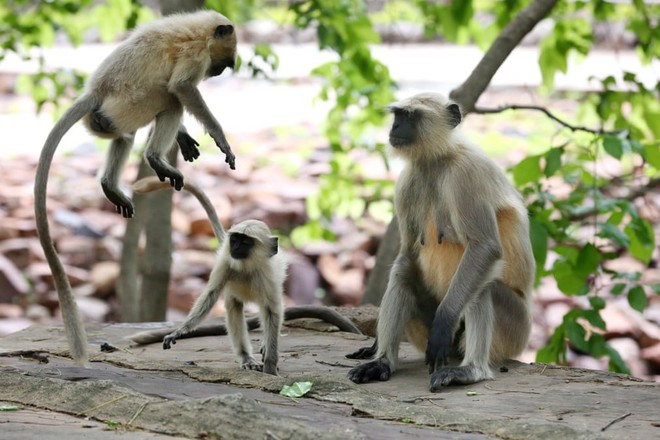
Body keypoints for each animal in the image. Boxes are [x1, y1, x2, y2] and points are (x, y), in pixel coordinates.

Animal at [33, 10, 238, 368]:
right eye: (223, 63)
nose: (222, 71)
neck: (198, 29)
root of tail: (96, 91)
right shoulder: (195, 53)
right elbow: (182, 87)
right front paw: (219, 138)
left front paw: (184, 137)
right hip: (132, 102)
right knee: (170, 98)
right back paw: (155, 159)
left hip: (110, 116)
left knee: (125, 135)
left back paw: (110, 185)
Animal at [128, 177, 360, 376]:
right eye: (235, 239)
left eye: (246, 242)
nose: (235, 247)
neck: (247, 265)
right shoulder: (225, 263)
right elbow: (211, 295)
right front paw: (181, 330)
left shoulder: (267, 274)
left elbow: (273, 311)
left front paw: (270, 366)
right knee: (234, 308)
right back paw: (246, 358)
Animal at [348, 92, 532, 388]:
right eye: (397, 115)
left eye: (410, 116)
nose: (395, 127)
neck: (436, 160)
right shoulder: (406, 183)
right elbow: (408, 253)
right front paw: (375, 348)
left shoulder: (468, 174)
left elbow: (485, 248)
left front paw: (444, 322)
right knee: (403, 269)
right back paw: (382, 363)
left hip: (514, 332)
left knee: (484, 285)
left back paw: (471, 370)